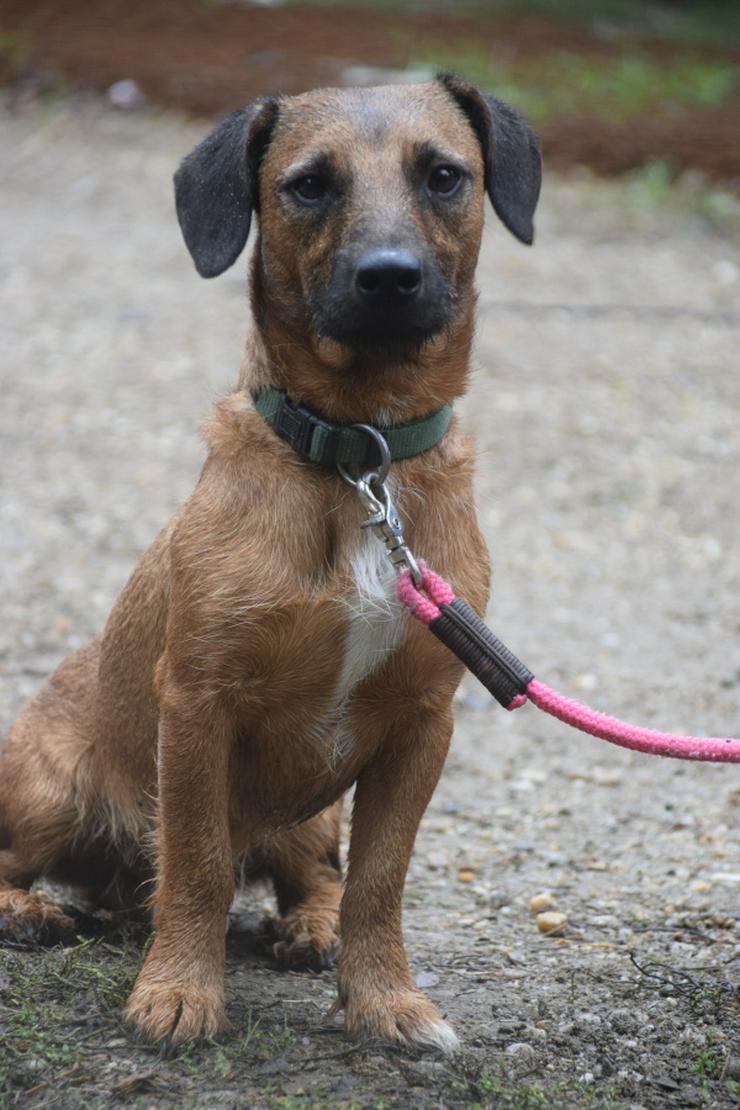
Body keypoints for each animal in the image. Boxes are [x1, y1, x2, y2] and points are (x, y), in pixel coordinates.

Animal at [0, 76, 539, 1047]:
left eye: (444, 175)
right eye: (309, 184)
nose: (389, 277)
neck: (358, 459)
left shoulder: (421, 726)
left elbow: (379, 880)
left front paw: (385, 999)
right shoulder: (199, 705)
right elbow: (199, 864)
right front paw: (179, 991)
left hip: (312, 814)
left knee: (317, 875)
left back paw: (310, 929)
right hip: (52, 791)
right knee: (19, 862)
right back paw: (30, 911)